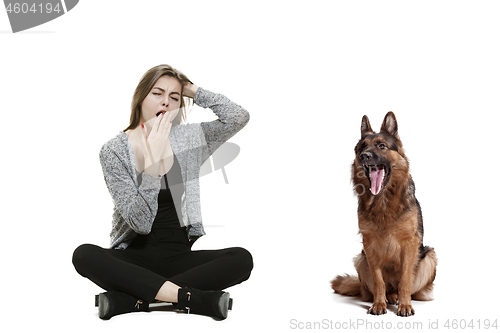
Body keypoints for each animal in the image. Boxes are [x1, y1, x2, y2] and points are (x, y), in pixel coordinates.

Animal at [332, 112, 438, 316]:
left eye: (381, 146)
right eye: (362, 147)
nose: (364, 156)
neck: (383, 202)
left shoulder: (410, 243)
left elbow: (405, 279)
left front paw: (405, 305)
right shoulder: (369, 244)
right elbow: (378, 280)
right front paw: (378, 304)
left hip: (429, 256)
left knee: (413, 289)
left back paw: (400, 297)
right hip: (360, 259)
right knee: (376, 288)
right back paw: (389, 296)